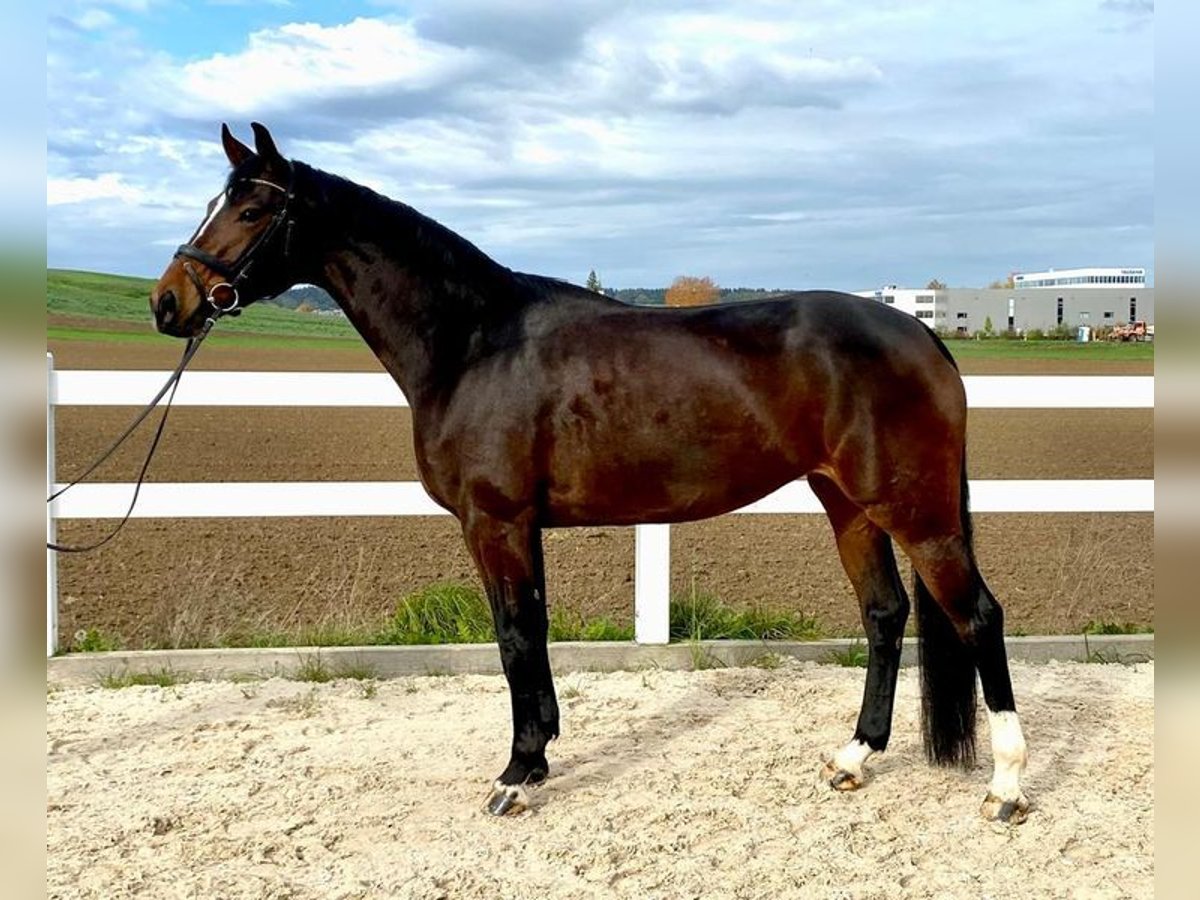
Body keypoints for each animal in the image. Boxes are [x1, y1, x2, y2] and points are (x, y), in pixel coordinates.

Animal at [150, 123, 1029, 824]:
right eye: (215, 203)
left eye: (253, 210)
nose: (169, 302)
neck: (473, 341)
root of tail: (921, 332)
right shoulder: (514, 528)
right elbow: (529, 632)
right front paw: (536, 758)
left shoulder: (497, 522)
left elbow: (514, 635)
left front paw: (516, 775)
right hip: (848, 504)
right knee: (885, 615)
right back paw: (853, 757)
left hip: (914, 511)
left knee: (978, 616)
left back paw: (1007, 788)